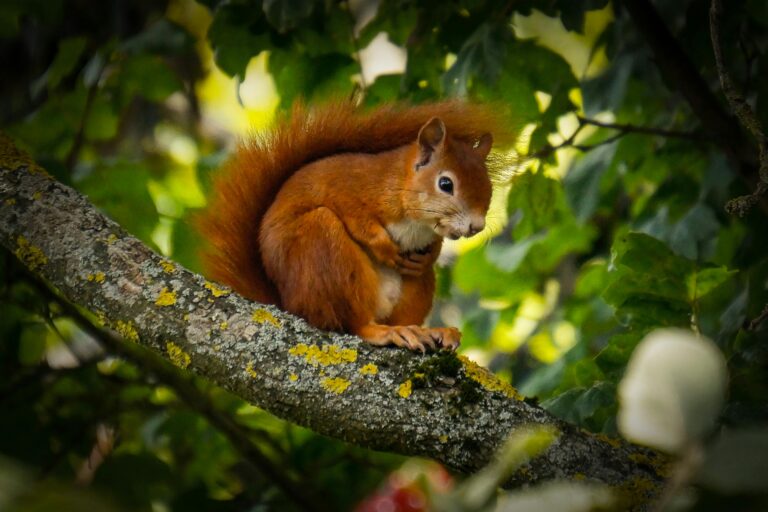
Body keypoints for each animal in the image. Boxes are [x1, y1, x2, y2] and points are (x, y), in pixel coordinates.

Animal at [197, 100, 509, 352]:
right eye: (445, 184)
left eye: (488, 187)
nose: (476, 226)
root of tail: (288, 304)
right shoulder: (344, 187)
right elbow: (358, 220)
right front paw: (384, 248)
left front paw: (428, 255)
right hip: (323, 249)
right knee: (352, 324)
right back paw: (385, 332)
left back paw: (427, 330)